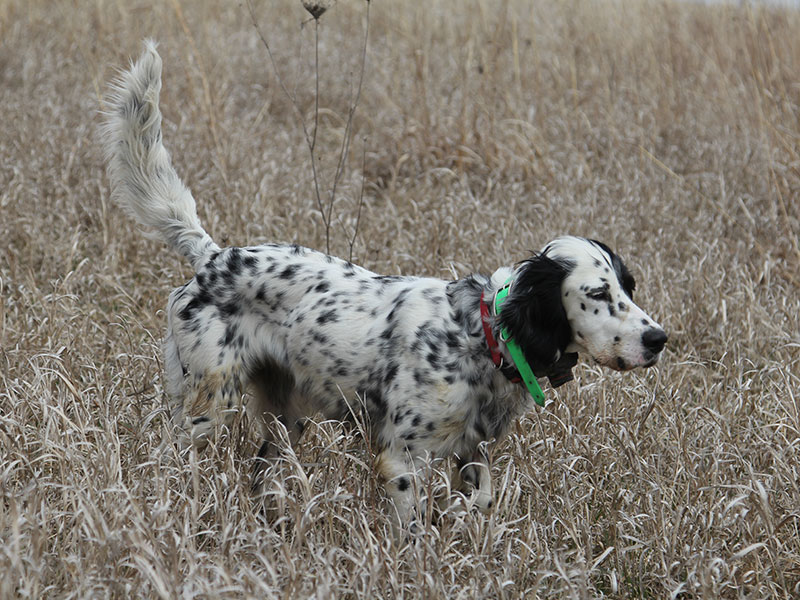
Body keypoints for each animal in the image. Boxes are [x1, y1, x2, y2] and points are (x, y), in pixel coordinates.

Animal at [103, 42, 667, 527]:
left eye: (630, 288)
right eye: (598, 294)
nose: (658, 339)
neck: (482, 334)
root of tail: (213, 258)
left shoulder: (473, 450)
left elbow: (481, 498)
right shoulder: (402, 457)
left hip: (286, 418)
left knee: (261, 474)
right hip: (207, 405)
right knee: (177, 462)